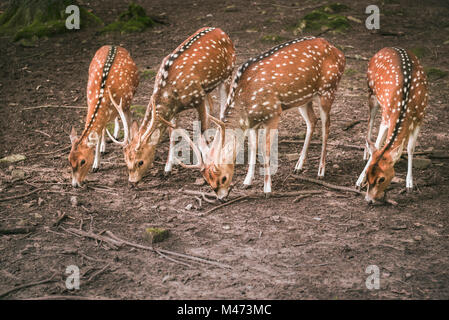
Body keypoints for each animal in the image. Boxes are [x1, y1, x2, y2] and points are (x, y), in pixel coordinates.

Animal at [67, 46, 138, 189]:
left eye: (83, 161)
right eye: (69, 160)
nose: (75, 184)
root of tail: (114, 45)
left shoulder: (126, 105)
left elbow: (128, 126)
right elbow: (99, 135)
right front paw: (96, 164)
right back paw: (105, 146)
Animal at [174, 36, 344, 199]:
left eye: (223, 178)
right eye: (209, 182)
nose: (221, 197)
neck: (246, 100)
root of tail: (339, 54)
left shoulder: (274, 113)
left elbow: (265, 149)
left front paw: (267, 190)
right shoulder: (252, 123)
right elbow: (253, 148)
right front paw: (246, 182)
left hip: (328, 90)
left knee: (326, 126)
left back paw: (321, 172)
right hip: (303, 99)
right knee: (312, 121)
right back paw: (298, 166)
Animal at [354, 47, 428, 202]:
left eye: (381, 179)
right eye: (368, 173)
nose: (368, 199)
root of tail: (386, 48)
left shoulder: (420, 117)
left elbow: (410, 148)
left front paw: (409, 184)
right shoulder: (387, 116)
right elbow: (378, 144)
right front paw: (359, 180)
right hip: (371, 93)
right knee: (370, 122)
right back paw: (365, 152)